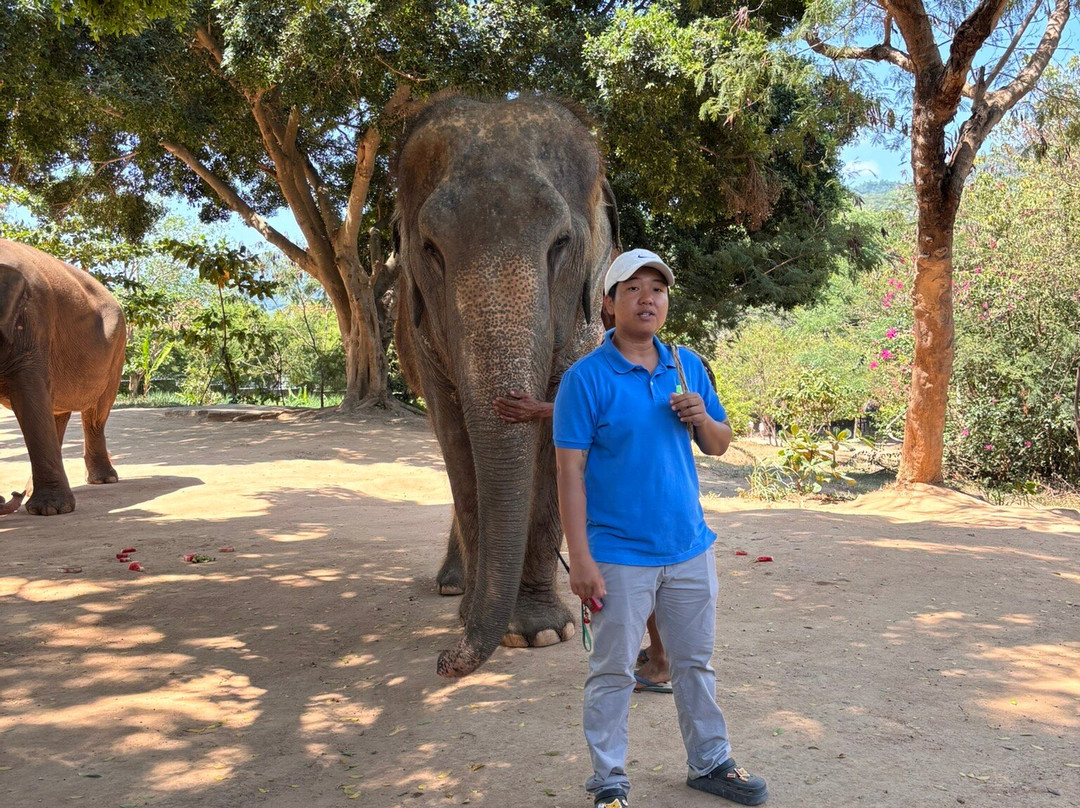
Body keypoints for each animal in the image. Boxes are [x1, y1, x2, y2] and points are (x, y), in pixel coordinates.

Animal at [0, 239, 127, 515]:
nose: (8, 497)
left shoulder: (32, 323)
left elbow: (29, 393)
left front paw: (51, 510)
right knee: (55, 410)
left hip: (117, 348)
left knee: (96, 411)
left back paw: (103, 480)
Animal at [393, 95, 619, 678]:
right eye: (430, 248)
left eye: (561, 243)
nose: (445, 661)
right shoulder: (423, 339)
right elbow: (458, 443)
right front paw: (483, 619)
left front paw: (542, 633)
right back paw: (454, 589)